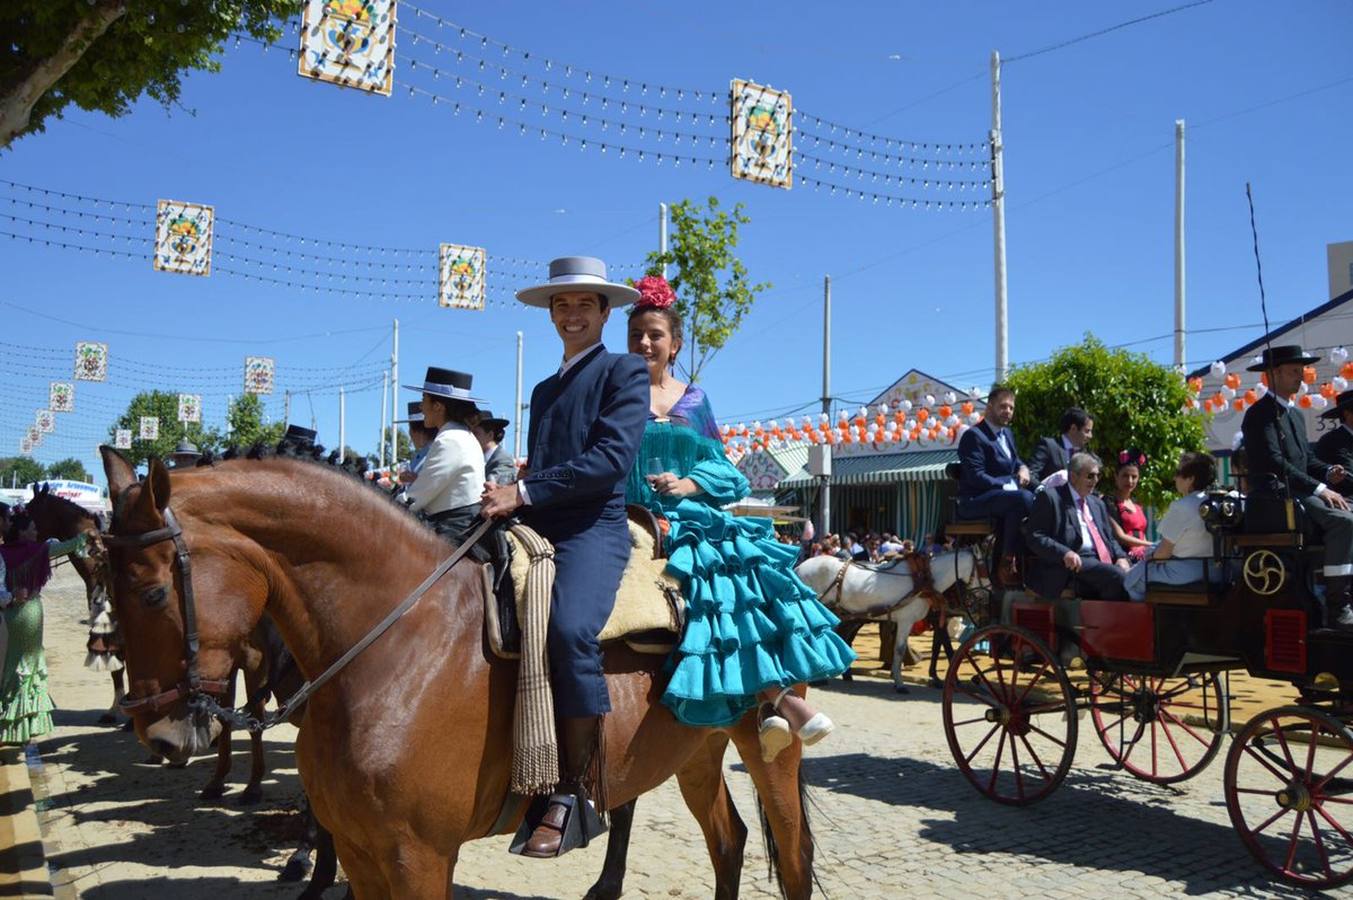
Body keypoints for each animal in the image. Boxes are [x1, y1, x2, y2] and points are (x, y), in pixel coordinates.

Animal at [100, 449, 811, 898]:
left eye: (153, 594)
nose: (158, 737)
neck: (402, 646)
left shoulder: (418, 857)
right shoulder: (361, 851)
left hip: (769, 752)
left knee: (794, 856)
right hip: (698, 749)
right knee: (730, 842)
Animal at [795, 546, 990, 687]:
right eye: (983, 570)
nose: (985, 596)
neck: (924, 580)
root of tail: (799, 567)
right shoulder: (906, 621)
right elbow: (900, 649)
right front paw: (899, 683)